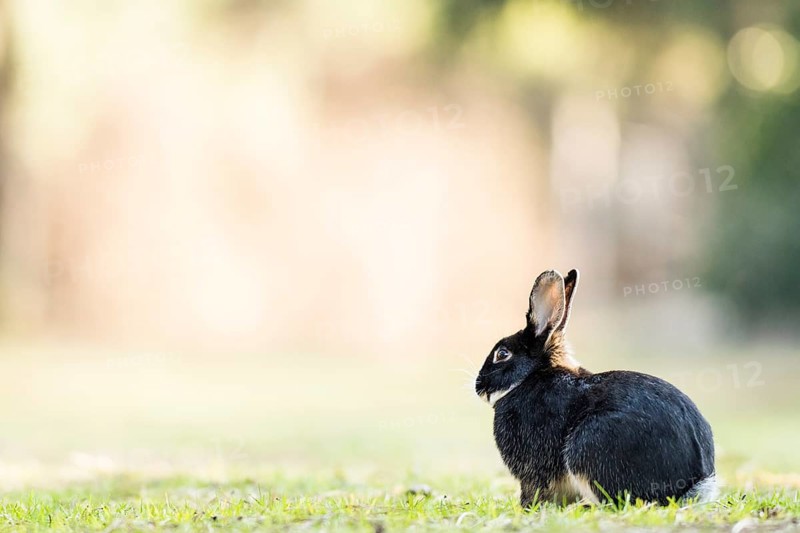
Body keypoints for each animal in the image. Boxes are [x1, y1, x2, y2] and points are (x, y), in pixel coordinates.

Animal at [475, 269, 717, 507]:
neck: (529, 377)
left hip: (588, 446)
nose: (478, 386)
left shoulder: (534, 469)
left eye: (502, 354)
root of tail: (690, 483)